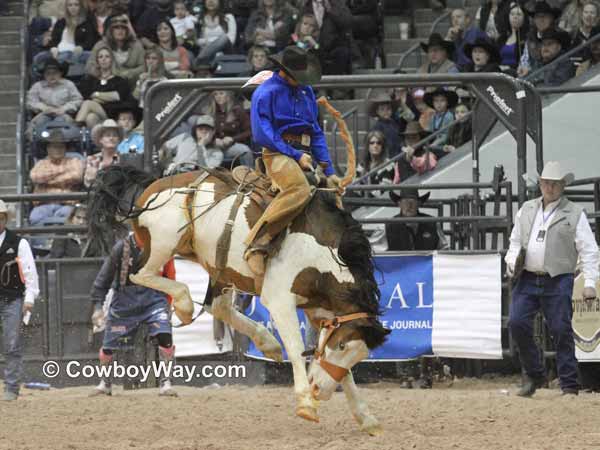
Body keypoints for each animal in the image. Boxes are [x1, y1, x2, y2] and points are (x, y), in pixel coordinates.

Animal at [88, 99, 390, 436]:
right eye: (342, 346)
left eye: (356, 353)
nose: (320, 391)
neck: (322, 247)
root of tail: (151, 184)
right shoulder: (280, 299)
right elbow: (297, 347)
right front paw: (305, 403)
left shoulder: (320, 310)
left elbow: (328, 361)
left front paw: (365, 417)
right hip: (163, 244)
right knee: (143, 274)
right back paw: (183, 306)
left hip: (219, 268)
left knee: (217, 306)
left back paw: (267, 343)